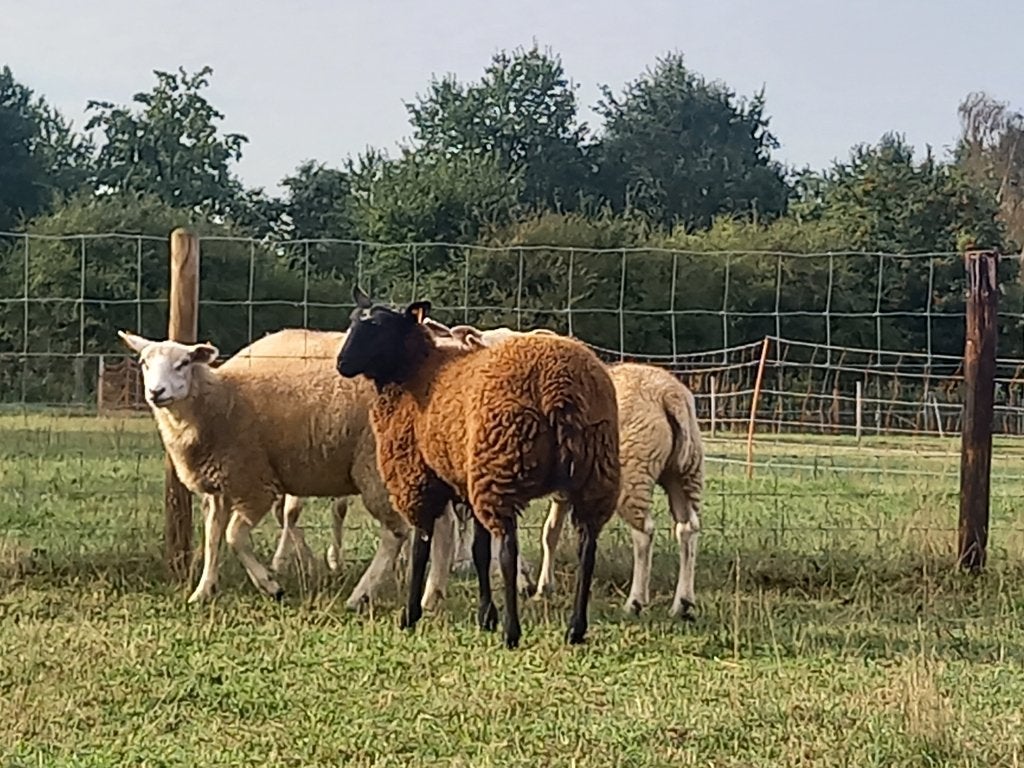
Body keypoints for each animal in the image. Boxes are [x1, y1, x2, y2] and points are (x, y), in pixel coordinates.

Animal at [117, 327, 455, 610]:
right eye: (144, 363)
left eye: (184, 363)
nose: (156, 393)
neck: (221, 400)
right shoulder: (220, 488)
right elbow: (213, 540)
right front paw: (202, 592)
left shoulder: (254, 484)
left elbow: (234, 537)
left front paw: (270, 585)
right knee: (442, 525)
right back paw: (431, 596)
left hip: (376, 467)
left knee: (396, 533)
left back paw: (360, 596)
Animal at [335, 287, 621, 647]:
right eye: (353, 321)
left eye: (379, 326)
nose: (341, 363)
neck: (419, 371)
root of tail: (559, 386)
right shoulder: (467, 480)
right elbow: (479, 551)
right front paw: (485, 616)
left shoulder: (418, 478)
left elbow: (421, 548)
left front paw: (410, 615)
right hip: (594, 472)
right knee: (587, 548)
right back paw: (575, 628)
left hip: (501, 466)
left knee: (509, 551)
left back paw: (512, 632)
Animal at [433, 323, 705, 619]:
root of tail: (668, 395)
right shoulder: (562, 492)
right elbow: (550, 533)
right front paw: (542, 587)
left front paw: (519, 582)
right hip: (685, 471)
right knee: (687, 529)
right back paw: (683, 603)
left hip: (635, 473)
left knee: (644, 533)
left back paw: (635, 601)